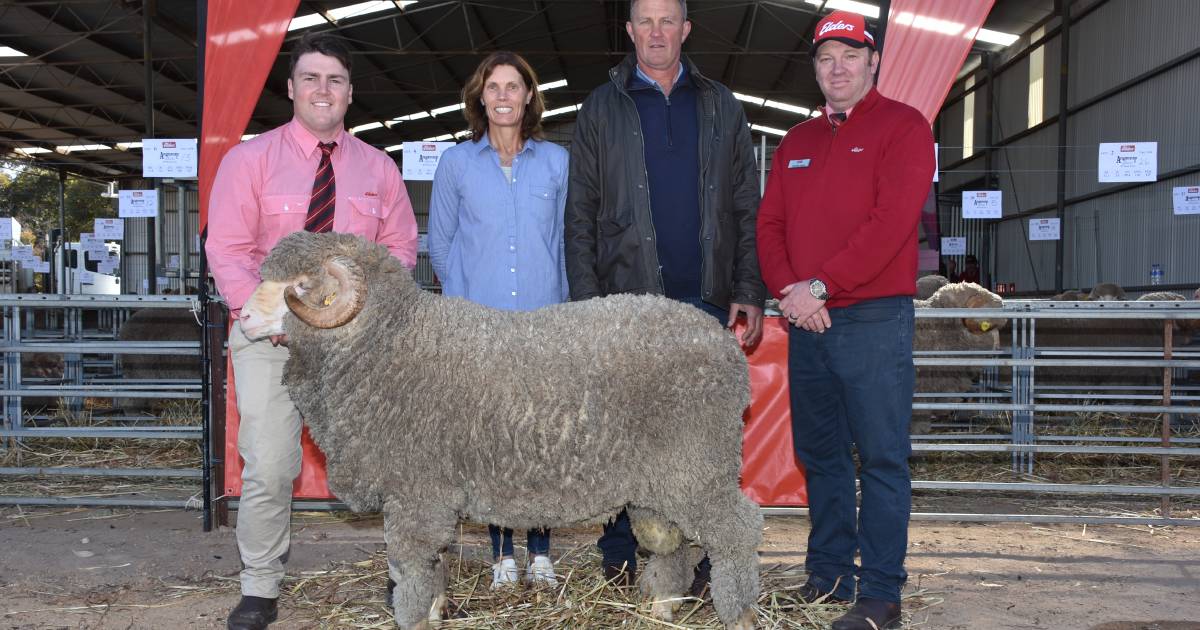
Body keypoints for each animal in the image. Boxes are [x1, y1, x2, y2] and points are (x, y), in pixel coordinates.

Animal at [235, 230, 758, 628]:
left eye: (301, 284)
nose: (243, 318)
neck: (389, 341)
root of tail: (725, 345)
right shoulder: (428, 497)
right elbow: (432, 564)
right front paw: (437, 608)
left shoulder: (416, 492)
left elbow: (412, 567)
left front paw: (416, 616)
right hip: (663, 482)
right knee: (675, 542)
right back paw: (663, 605)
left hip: (699, 466)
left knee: (737, 532)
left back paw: (739, 614)